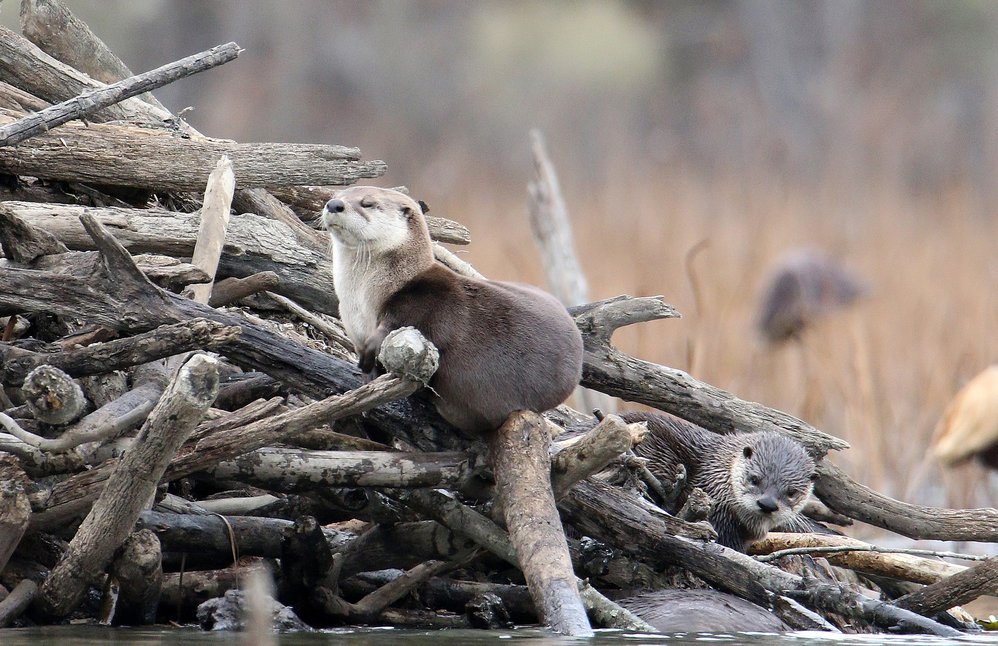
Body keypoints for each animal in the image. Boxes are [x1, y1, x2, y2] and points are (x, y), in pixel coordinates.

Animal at [324, 187, 584, 436]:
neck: (362, 300)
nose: (334, 204)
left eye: (367, 203)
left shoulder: (423, 305)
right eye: (337, 195)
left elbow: (398, 328)